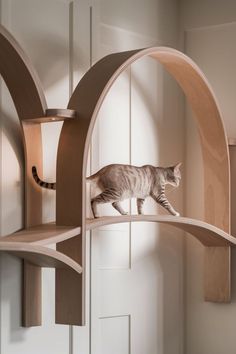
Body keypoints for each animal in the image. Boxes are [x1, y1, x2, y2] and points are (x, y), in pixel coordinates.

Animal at [32, 163, 182, 218]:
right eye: (179, 177)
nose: (180, 183)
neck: (161, 173)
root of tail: (102, 169)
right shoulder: (159, 194)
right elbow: (168, 205)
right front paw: (175, 213)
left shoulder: (141, 196)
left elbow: (139, 206)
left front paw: (141, 214)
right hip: (115, 192)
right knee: (94, 200)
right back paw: (97, 215)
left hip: (118, 194)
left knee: (114, 204)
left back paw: (124, 213)